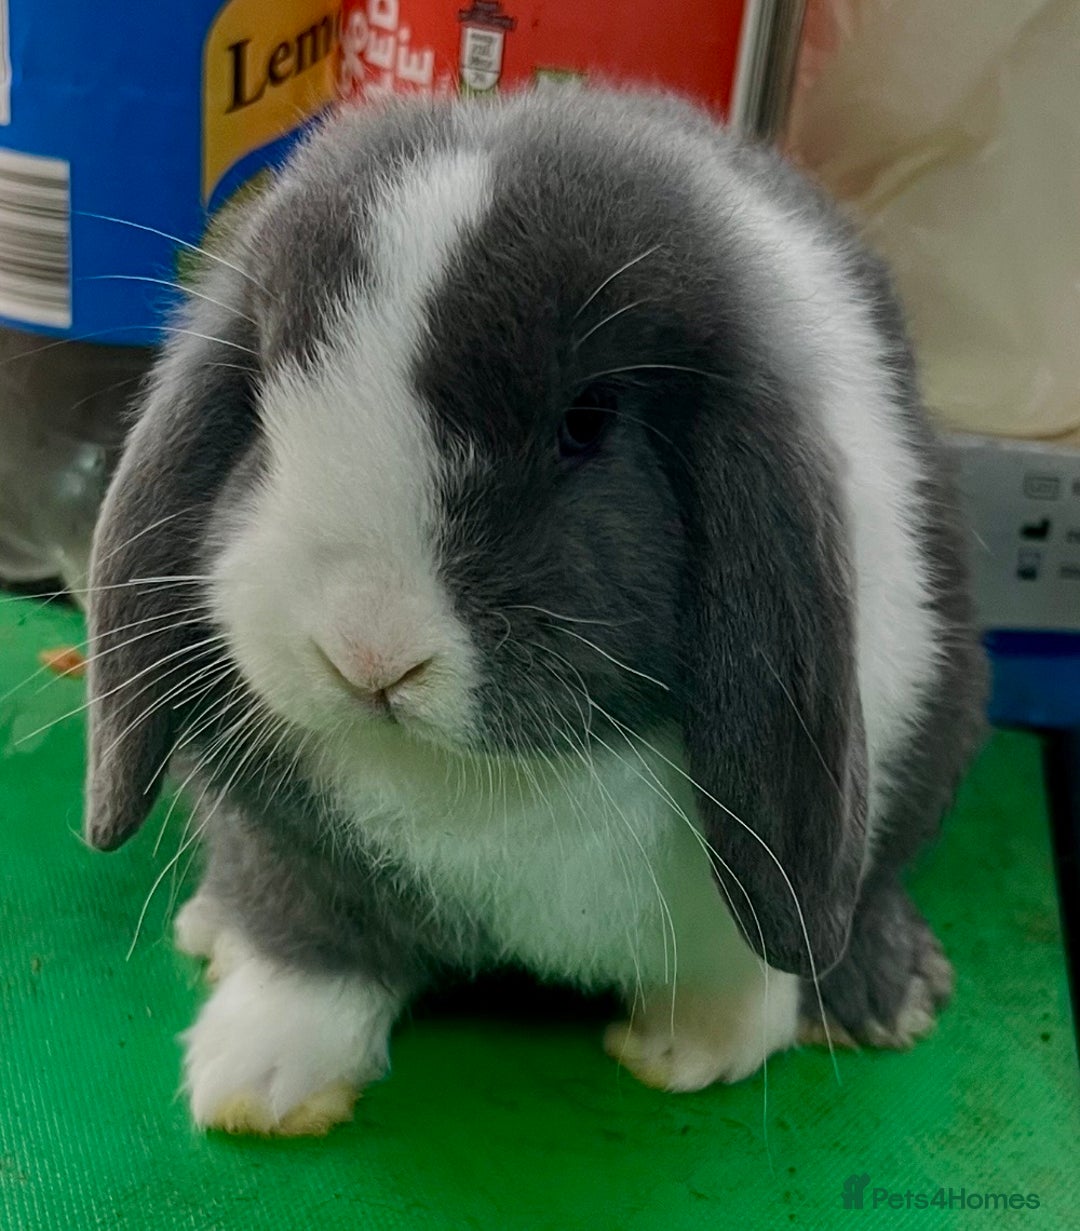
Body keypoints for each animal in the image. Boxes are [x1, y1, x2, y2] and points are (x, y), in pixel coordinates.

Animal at [83, 86, 986, 1136]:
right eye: (264, 406)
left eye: (586, 424)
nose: (367, 653)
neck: (491, 783)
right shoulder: (284, 850)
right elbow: (308, 947)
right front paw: (261, 1079)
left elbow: (739, 956)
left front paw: (694, 1049)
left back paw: (890, 997)